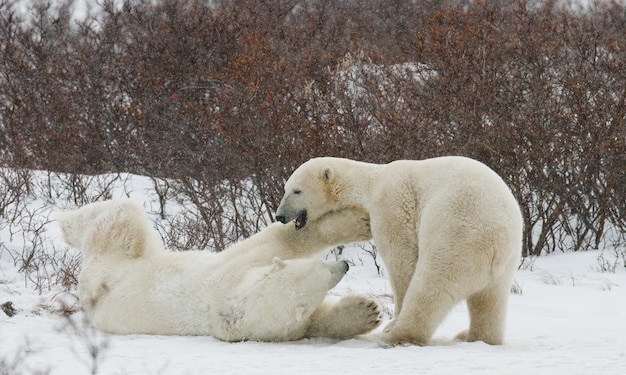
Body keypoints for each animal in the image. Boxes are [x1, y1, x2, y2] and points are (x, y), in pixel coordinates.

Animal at [57, 200, 380, 344]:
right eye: (324, 273)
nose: (345, 265)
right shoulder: (236, 270)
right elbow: (281, 239)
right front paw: (360, 221)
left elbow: (318, 323)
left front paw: (366, 311)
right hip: (118, 257)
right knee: (119, 216)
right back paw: (65, 222)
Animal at [276, 156, 520, 346]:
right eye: (286, 189)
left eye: (297, 190)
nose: (280, 216)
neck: (371, 183)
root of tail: (497, 243)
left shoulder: (390, 203)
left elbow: (401, 259)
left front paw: (393, 319)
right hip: (505, 265)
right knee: (489, 302)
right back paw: (473, 336)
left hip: (456, 236)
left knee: (431, 285)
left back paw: (394, 334)